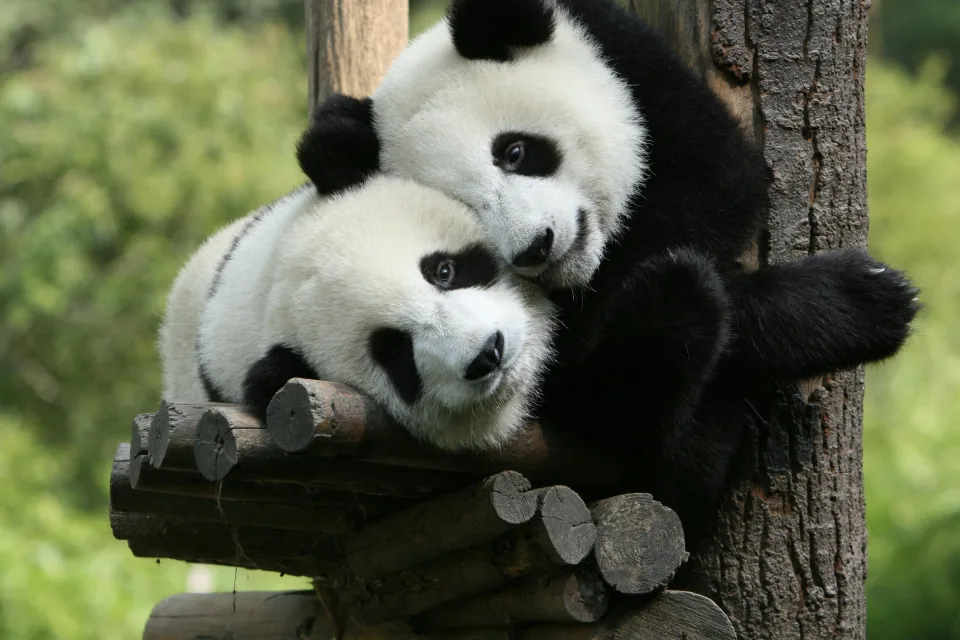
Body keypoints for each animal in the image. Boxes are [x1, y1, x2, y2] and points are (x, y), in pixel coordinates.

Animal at [296, 0, 920, 544]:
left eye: (515, 152)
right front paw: (862, 301)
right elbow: (586, 376)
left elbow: (720, 186)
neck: (591, 268)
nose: (536, 247)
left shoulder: (642, 79)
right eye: (466, 208)